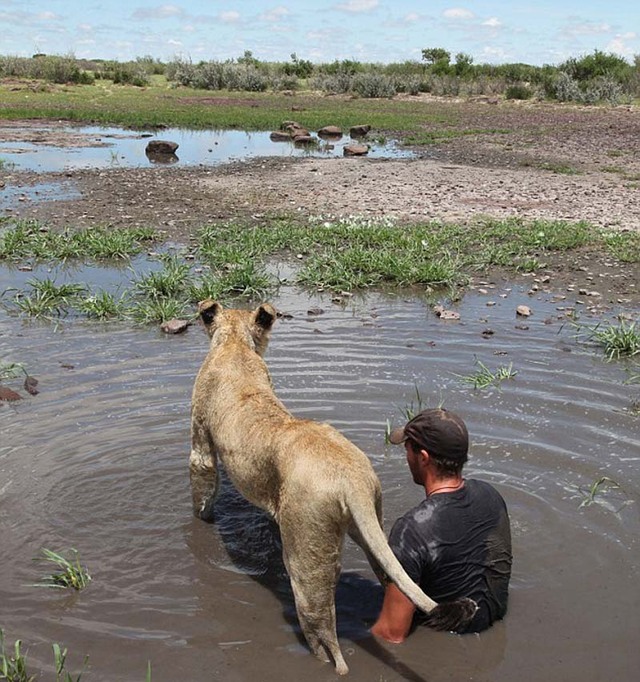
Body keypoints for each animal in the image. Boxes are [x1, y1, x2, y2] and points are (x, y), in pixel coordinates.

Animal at [190, 300, 476, 672]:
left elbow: (202, 479)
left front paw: (202, 519)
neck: (236, 346)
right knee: (393, 578)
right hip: (367, 523)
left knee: (322, 625)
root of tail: (351, 481)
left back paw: (328, 662)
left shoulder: (200, 437)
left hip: (307, 551)